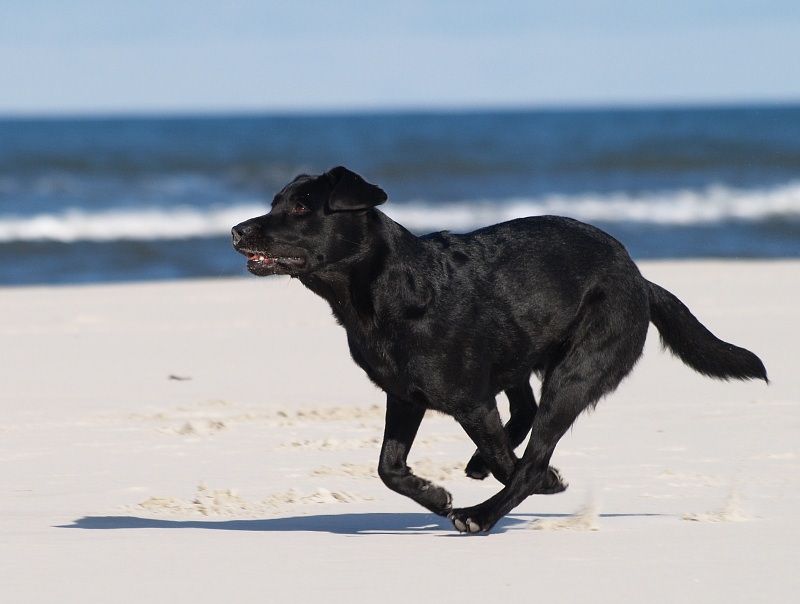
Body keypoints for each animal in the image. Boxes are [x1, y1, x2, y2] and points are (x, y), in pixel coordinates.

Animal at [231, 165, 768, 532]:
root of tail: (639, 278)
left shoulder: (469, 399)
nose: (237, 230)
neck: (389, 292)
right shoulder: (404, 397)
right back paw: (477, 472)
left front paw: (530, 482)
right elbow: (389, 468)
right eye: (275, 202)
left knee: (530, 457)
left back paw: (484, 513)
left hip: (574, 375)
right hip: (521, 350)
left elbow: (513, 462)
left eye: (302, 208)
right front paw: (436, 494)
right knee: (522, 413)